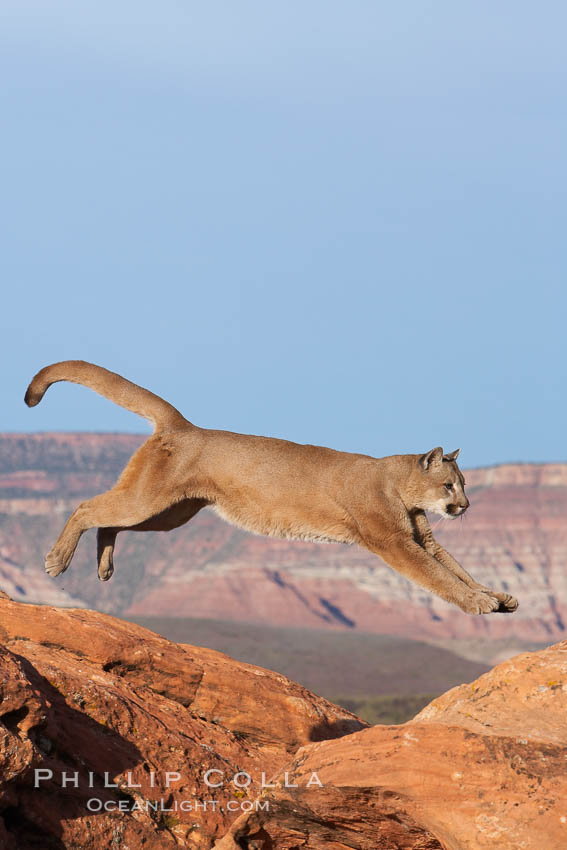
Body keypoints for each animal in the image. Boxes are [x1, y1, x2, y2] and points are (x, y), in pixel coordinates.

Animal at [24, 362, 516, 612]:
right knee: (87, 507)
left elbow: (456, 567)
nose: (465, 506)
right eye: (450, 486)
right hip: (149, 500)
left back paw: (104, 566)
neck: (400, 486)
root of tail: (185, 426)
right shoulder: (394, 542)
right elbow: (439, 577)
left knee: (110, 521)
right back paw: (56, 561)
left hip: (169, 513)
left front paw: (495, 595)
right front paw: (477, 602)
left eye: (463, 485)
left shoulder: (423, 539)